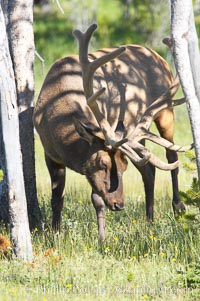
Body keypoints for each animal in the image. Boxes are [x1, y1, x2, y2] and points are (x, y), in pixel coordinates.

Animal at [33, 24, 193, 239]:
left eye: (123, 167)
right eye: (103, 164)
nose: (119, 204)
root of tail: (157, 54)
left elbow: (97, 199)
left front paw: (102, 237)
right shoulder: (49, 153)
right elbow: (57, 197)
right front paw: (55, 232)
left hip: (166, 112)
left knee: (172, 157)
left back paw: (178, 207)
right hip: (137, 133)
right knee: (149, 169)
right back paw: (149, 219)